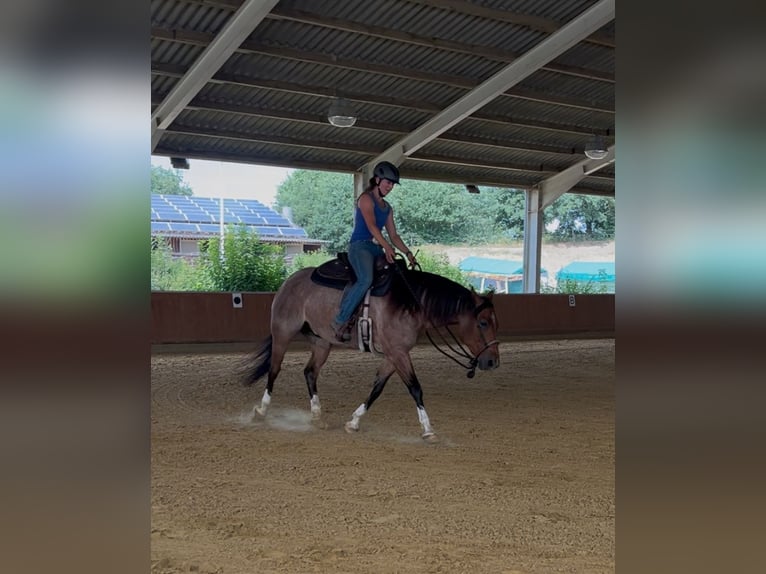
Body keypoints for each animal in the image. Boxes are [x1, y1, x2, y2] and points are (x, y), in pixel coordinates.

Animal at [241, 257, 500, 441]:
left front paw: (354, 422)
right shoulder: (398, 353)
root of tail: (290, 280)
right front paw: (428, 429)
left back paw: (316, 416)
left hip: (322, 342)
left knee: (310, 372)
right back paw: (261, 411)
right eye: (483, 323)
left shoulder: (394, 354)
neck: (410, 302)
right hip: (282, 334)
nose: (492, 362)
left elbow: (377, 388)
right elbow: (415, 389)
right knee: (274, 369)